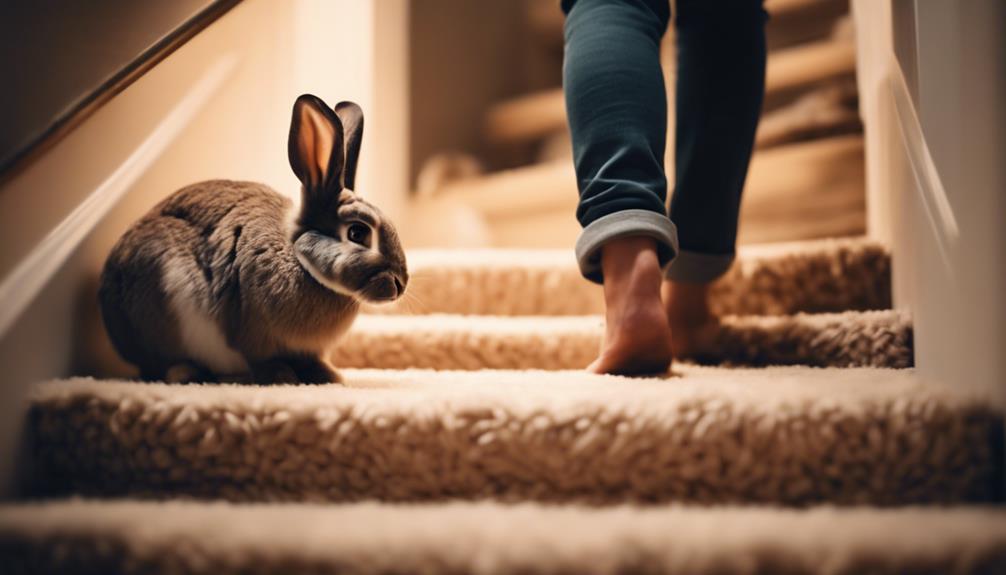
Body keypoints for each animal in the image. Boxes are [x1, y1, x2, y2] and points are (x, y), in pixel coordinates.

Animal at [98, 94, 407, 384]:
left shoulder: (305, 350)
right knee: (160, 365)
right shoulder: (252, 329)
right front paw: (281, 377)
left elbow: (310, 361)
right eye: (357, 232)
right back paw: (187, 373)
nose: (400, 285)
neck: (298, 257)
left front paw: (328, 376)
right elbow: (260, 358)